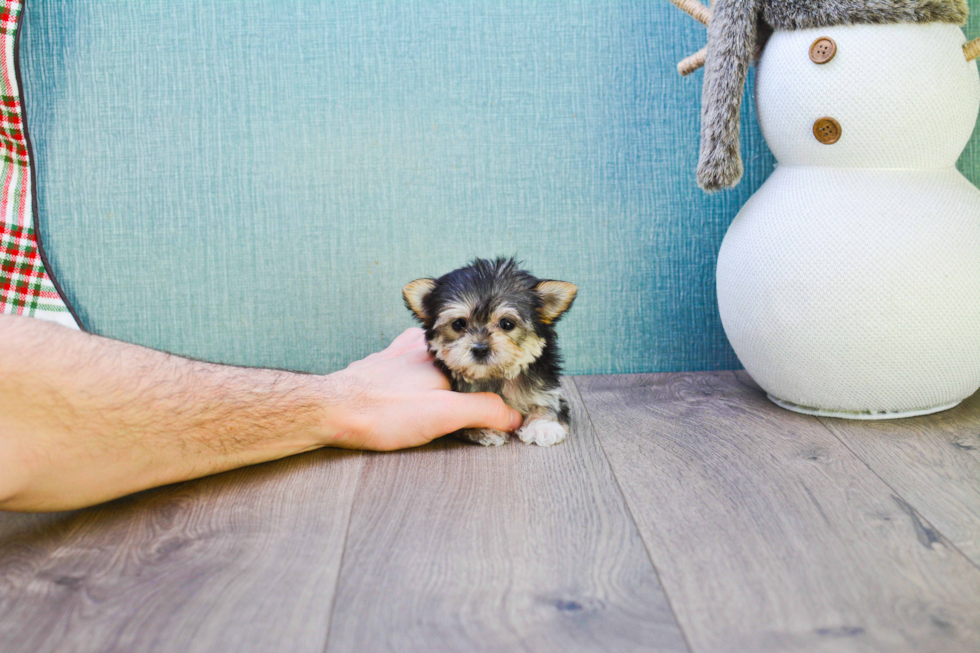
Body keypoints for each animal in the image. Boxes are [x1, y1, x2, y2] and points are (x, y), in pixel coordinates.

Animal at [404, 258, 580, 446]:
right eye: (458, 324)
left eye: (507, 324)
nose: (480, 349)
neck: (493, 377)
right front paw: (484, 428)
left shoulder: (545, 386)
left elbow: (549, 402)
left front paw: (543, 425)